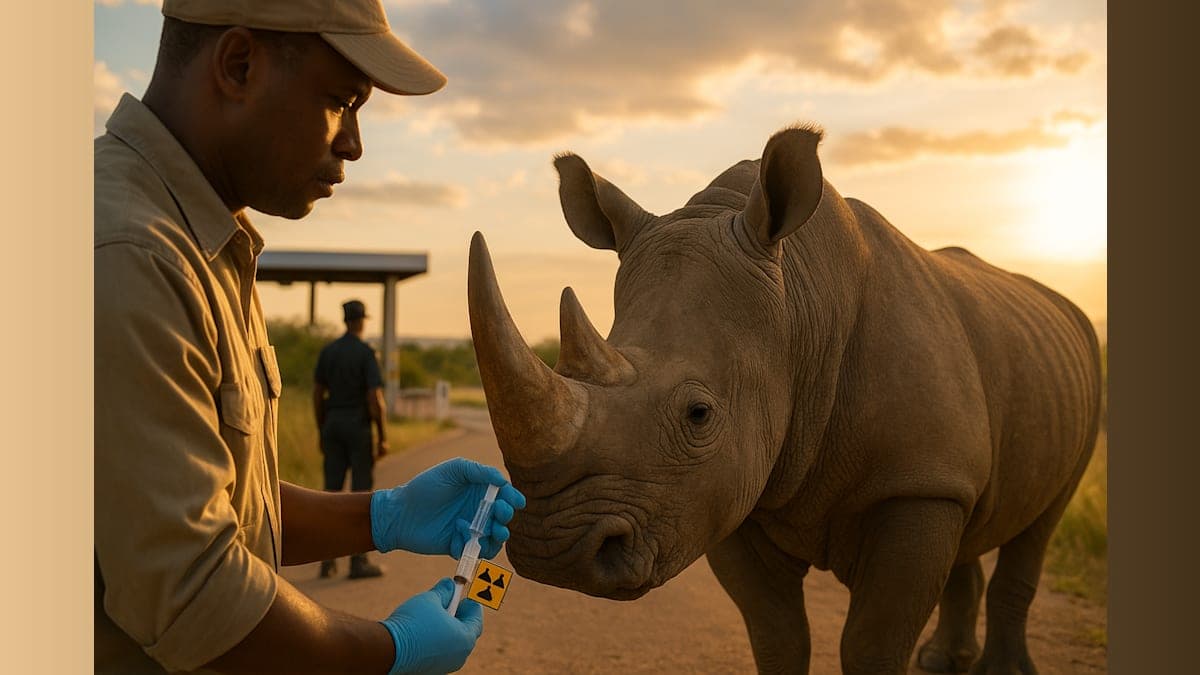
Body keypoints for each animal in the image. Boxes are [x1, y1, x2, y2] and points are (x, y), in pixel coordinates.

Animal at [467, 125, 1102, 674]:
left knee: (1039, 526)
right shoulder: (732, 490)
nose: (554, 552)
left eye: (700, 415)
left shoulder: (916, 484)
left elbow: (872, 643)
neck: (800, 304)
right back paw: (943, 663)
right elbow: (777, 635)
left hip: (1080, 379)